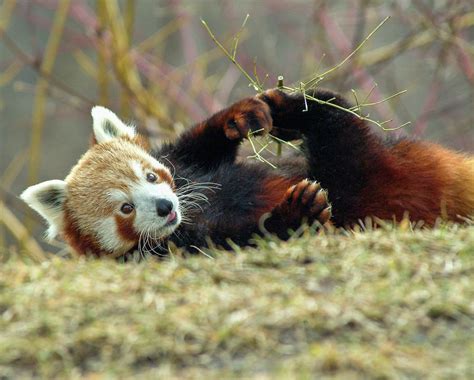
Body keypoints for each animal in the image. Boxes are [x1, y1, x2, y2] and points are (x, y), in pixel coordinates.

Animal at [19, 88, 474, 258]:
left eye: (151, 177)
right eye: (125, 209)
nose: (165, 207)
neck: (194, 212)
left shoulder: (186, 164)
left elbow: (204, 143)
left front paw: (239, 117)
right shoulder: (178, 247)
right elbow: (245, 235)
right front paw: (297, 213)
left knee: (336, 119)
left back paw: (293, 107)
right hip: (359, 177)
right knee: (347, 142)